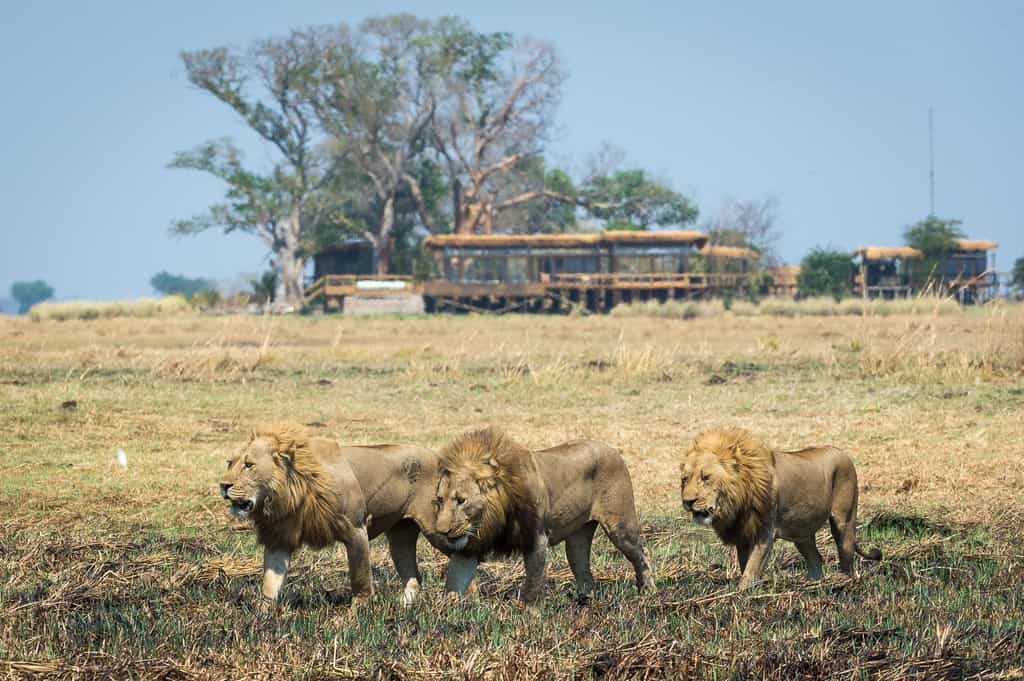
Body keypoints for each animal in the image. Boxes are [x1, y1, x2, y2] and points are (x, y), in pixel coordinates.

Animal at [220, 423, 442, 606]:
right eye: (229, 463)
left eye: (249, 465)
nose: (223, 485)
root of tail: (437, 456)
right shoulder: (279, 537)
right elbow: (270, 583)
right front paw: (262, 616)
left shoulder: (356, 529)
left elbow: (360, 579)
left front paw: (357, 616)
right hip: (400, 535)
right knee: (414, 577)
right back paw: (405, 607)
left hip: (436, 530)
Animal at [433, 427, 656, 603]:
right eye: (440, 500)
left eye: (461, 500)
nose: (441, 531)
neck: (492, 518)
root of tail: (611, 449)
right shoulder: (468, 548)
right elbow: (456, 580)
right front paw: (450, 612)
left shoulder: (536, 537)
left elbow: (533, 583)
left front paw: (528, 615)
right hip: (577, 540)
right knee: (583, 570)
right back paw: (584, 604)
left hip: (620, 527)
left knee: (642, 554)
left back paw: (648, 593)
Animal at [680, 429, 881, 590]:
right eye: (685, 479)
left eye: (706, 477)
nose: (688, 501)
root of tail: (841, 452)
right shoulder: (743, 534)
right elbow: (745, 566)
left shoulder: (765, 532)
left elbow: (751, 569)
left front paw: (739, 595)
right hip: (802, 533)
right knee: (816, 559)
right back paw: (813, 585)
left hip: (844, 521)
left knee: (847, 559)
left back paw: (845, 584)